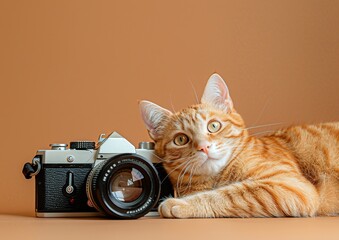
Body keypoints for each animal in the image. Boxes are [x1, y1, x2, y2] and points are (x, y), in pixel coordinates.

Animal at [139, 73, 339, 218]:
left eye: (213, 126)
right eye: (181, 139)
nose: (203, 147)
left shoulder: (290, 185)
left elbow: (227, 194)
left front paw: (181, 203)